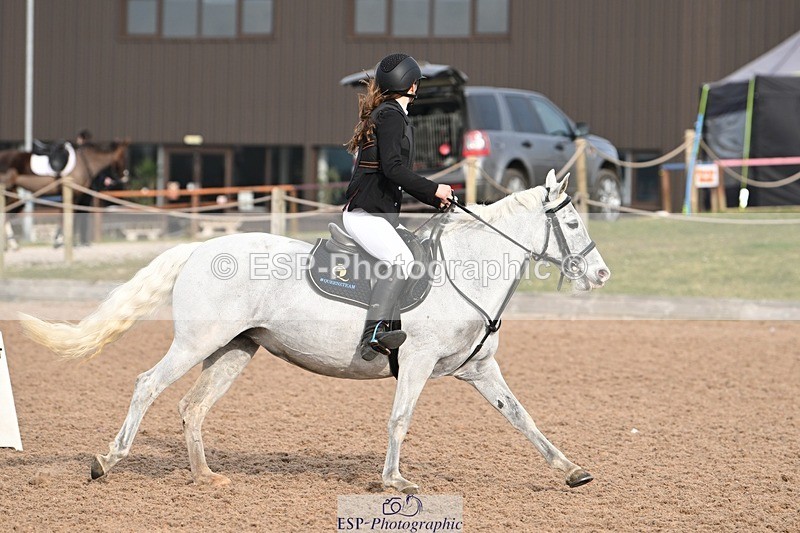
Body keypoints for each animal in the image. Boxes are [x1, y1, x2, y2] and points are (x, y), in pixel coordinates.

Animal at [20, 170, 611, 493]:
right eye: (573, 222)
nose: (602, 274)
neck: (466, 268)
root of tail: (199, 249)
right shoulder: (417, 361)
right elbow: (400, 420)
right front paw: (394, 481)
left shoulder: (479, 369)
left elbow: (522, 417)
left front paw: (572, 470)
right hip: (196, 342)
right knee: (148, 384)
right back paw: (107, 460)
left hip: (235, 349)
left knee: (192, 406)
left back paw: (205, 478)